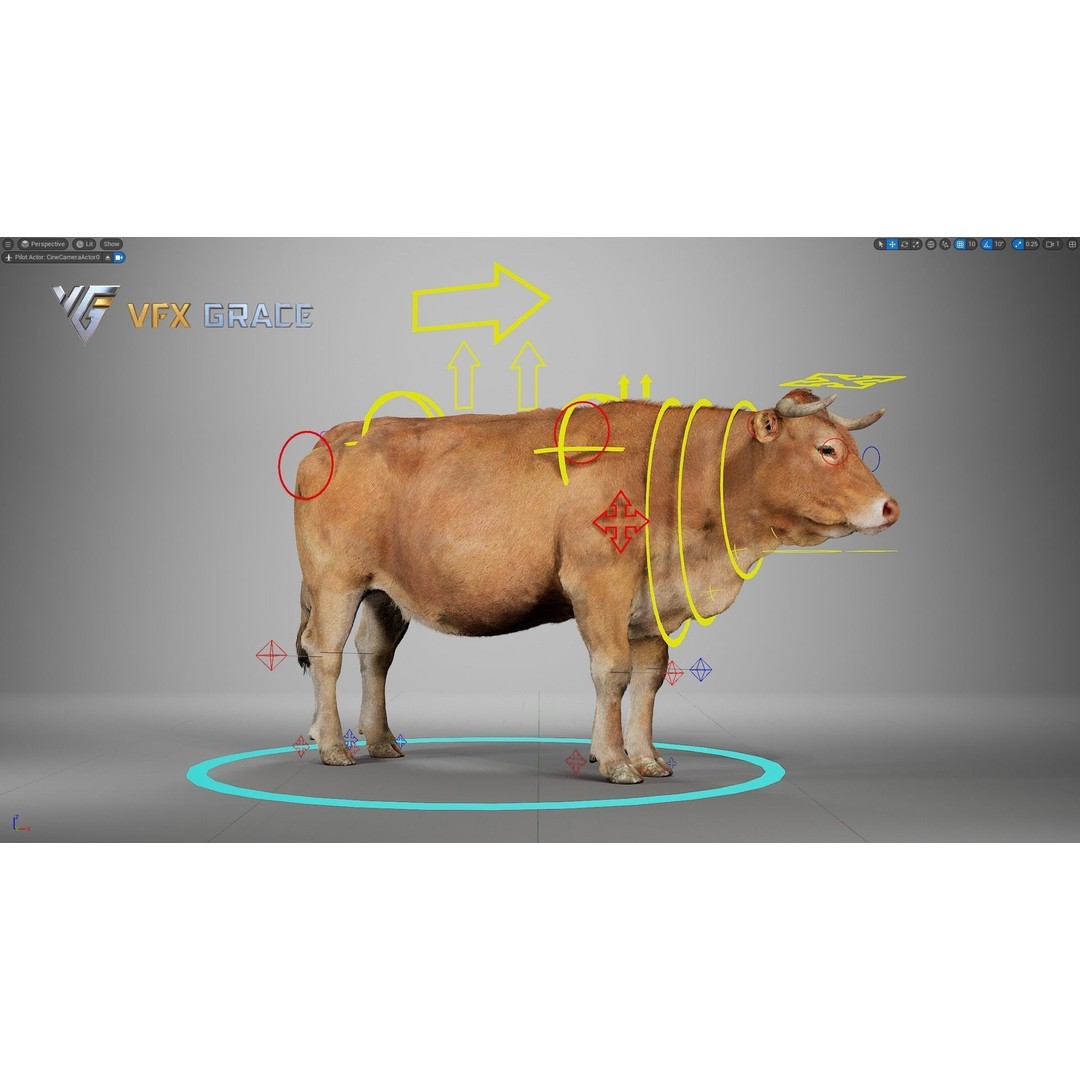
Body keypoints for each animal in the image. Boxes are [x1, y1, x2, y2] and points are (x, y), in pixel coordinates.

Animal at [293, 389, 899, 783]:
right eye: (826, 449)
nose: (890, 506)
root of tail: (334, 438)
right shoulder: (598, 582)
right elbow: (613, 671)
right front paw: (614, 762)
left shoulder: (654, 603)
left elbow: (649, 678)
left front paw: (649, 758)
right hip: (335, 581)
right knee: (325, 653)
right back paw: (333, 747)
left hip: (384, 592)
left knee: (375, 654)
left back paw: (380, 742)